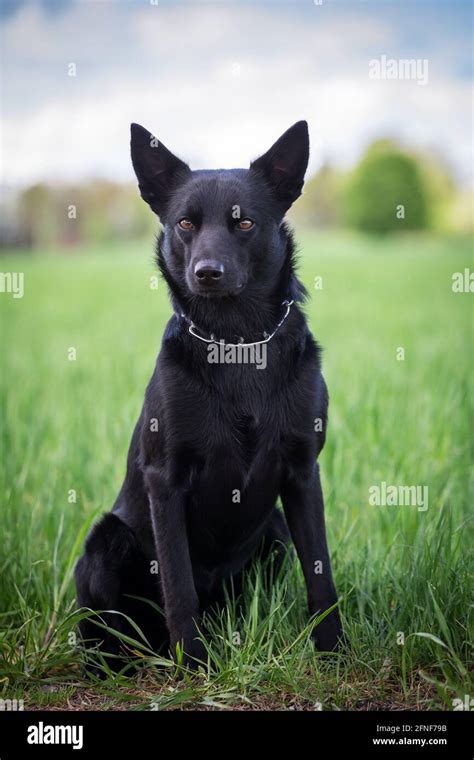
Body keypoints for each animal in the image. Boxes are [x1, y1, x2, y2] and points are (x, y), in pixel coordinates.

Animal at [76, 121, 344, 668]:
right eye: (184, 223)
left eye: (244, 224)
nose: (207, 272)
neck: (237, 343)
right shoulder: (165, 482)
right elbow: (178, 586)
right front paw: (194, 664)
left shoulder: (303, 472)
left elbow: (321, 575)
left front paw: (333, 652)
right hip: (107, 541)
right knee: (103, 626)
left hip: (275, 529)